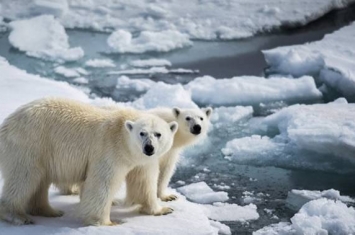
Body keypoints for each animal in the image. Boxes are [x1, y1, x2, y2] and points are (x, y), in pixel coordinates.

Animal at [0, 98, 178, 226]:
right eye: (142, 133)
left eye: (158, 134)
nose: (149, 148)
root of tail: (7, 124)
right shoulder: (110, 150)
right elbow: (101, 183)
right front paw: (108, 222)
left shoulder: (142, 161)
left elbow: (144, 182)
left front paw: (163, 209)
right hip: (30, 143)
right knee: (24, 178)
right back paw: (17, 216)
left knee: (39, 182)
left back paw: (49, 211)